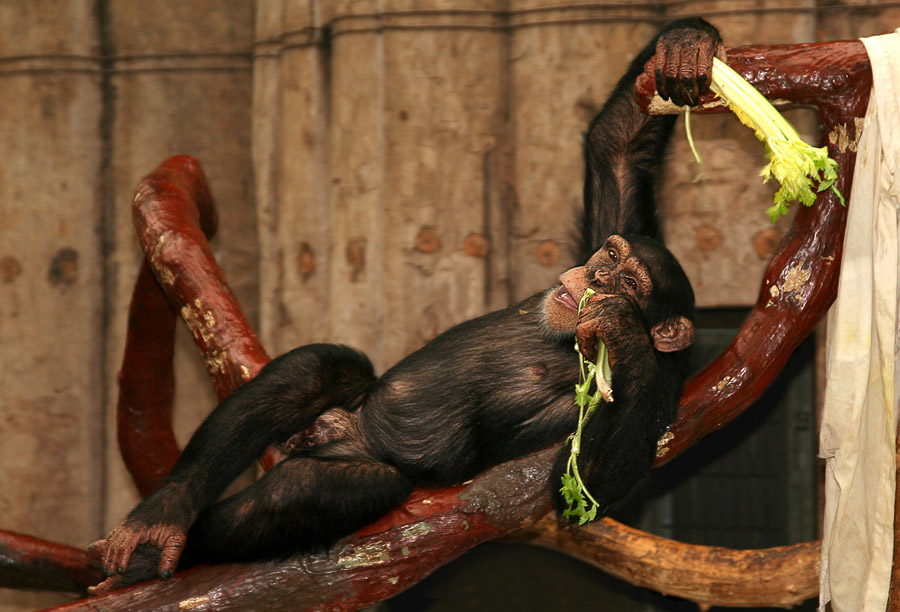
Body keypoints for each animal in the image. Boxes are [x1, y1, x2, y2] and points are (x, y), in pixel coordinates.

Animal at [89, 17, 724, 592]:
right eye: (610, 255)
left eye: (630, 283)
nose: (596, 275)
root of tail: (347, 427)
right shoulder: (615, 218)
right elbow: (617, 146)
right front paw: (687, 47)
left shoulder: (664, 385)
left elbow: (589, 487)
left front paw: (618, 324)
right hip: (346, 402)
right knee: (320, 367)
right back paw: (158, 522)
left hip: (361, 463)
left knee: (322, 486)